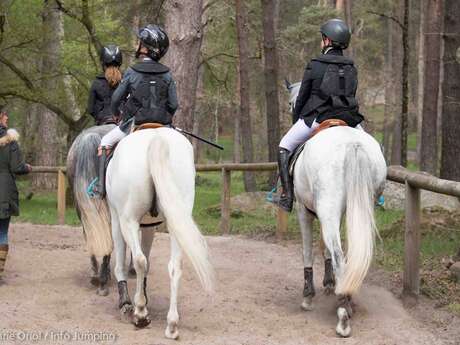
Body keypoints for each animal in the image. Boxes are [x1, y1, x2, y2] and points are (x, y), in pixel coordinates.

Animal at [107, 125, 215, 336]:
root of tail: (156, 137)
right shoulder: (150, 225)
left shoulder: (117, 218)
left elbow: (124, 263)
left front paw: (127, 303)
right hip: (176, 219)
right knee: (175, 266)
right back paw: (172, 324)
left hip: (128, 220)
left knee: (140, 260)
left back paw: (140, 313)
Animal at [286, 79, 386, 334]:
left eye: (292, 103)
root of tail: (353, 144)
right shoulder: (335, 214)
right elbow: (326, 247)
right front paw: (330, 284)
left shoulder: (304, 211)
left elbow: (308, 250)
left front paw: (308, 296)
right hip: (359, 210)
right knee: (352, 252)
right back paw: (347, 296)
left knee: (341, 255)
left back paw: (343, 314)